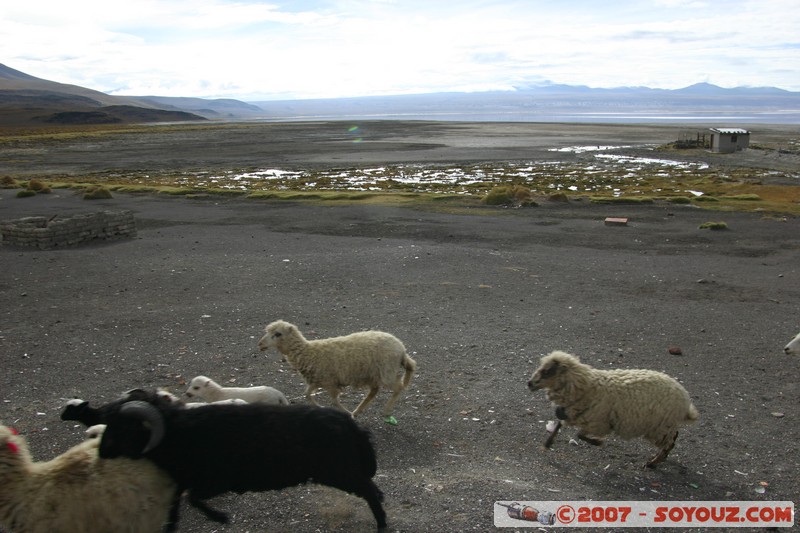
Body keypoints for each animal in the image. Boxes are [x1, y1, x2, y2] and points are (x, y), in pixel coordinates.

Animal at [96, 391, 387, 530]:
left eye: (124, 427)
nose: (102, 452)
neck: (179, 433)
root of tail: (351, 425)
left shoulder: (216, 482)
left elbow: (194, 499)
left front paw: (221, 518)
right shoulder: (182, 483)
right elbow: (176, 509)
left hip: (341, 472)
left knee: (370, 492)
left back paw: (382, 524)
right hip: (345, 471)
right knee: (372, 489)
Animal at [258, 320, 417, 425]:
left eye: (278, 334)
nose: (260, 344)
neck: (308, 352)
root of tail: (402, 348)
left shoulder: (330, 382)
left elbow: (334, 400)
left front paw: (345, 413)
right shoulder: (318, 380)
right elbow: (307, 394)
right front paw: (321, 407)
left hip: (387, 371)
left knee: (398, 388)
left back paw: (386, 411)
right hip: (374, 374)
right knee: (373, 391)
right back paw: (358, 411)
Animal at [527, 350, 699, 468]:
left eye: (546, 371)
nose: (529, 383)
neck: (587, 387)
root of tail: (685, 401)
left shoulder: (599, 423)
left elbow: (579, 434)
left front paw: (597, 442)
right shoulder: (572, 413)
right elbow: (559, 425)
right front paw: (547, 443)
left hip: (659, 428)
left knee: (670, 443)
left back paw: (653, 463)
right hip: (663, 427)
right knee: (673, 438)